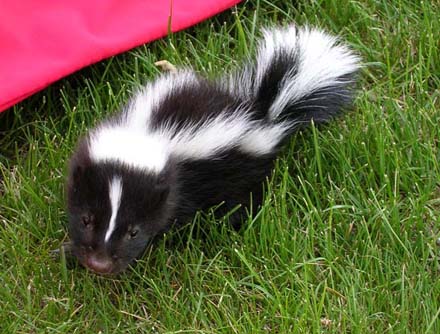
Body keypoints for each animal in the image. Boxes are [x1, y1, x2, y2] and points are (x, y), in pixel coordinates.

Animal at [67, 24, 360, 274]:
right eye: (85, 219)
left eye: (134, 232)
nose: (100, 264)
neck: (146, 131)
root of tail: (262, 113)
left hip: (244, 171)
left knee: (245, 200)